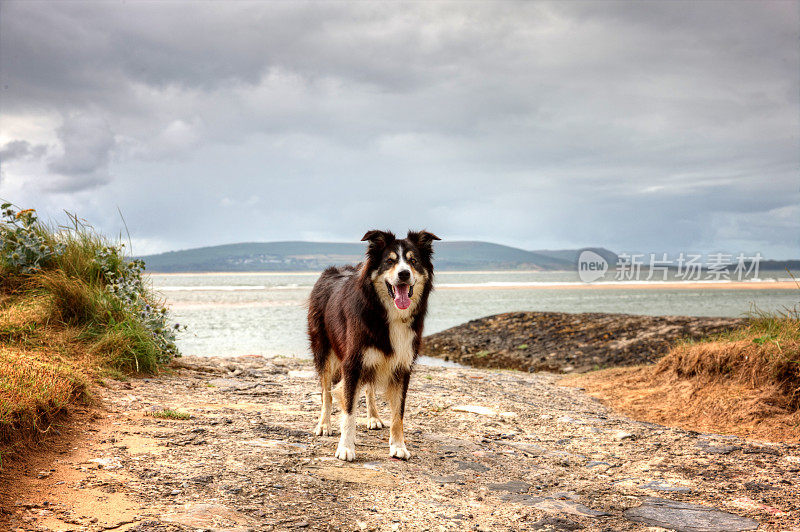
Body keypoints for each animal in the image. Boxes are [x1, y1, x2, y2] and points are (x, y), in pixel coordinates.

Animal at [310, 231, 440, 460]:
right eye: (389, 261)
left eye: (413, 261)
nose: (404, 274)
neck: (386, 312)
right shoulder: (352, 363)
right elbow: (349, 410)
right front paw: (345, 447)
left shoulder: (402, 366)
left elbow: (398, 413)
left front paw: (398, 446)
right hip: (323, 350)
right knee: (326, 392)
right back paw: (324, 425)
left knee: (369, 388)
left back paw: (373, 417)